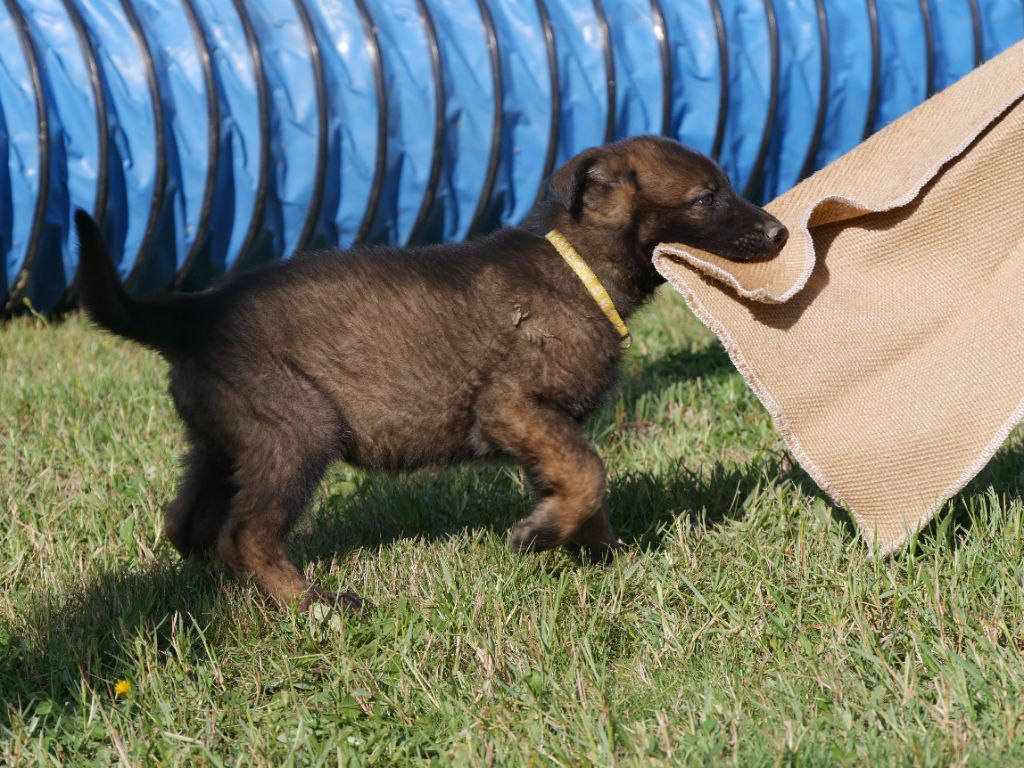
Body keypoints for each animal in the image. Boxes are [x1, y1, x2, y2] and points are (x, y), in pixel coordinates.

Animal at [75, 135, 786, 610]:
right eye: (707, 197)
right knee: (245, 534)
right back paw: (314, 604)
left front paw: (600, 554)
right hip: (298, 426)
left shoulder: (544, 429)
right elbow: (590, 473)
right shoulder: (512, 407)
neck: (578, 267)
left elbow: (583, 488)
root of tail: (193, 314)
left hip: (223, 440)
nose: (780, 232)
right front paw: (542, 534)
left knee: (188, 524)